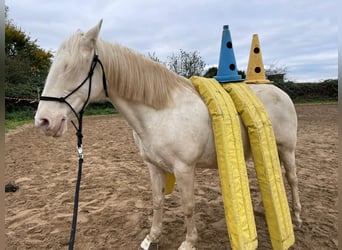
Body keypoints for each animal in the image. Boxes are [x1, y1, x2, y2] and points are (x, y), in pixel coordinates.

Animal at [34, 21, 302, 250]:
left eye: (71, 68)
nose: (44, 121)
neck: (161, 112)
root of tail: (279, 92)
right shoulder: (154, 167)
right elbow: (157, 202)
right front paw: (152, 237)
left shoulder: (184, 169)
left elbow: (188, 206)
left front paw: (189, 242)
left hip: (286, 149)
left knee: (291, 178)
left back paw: (297, 217)